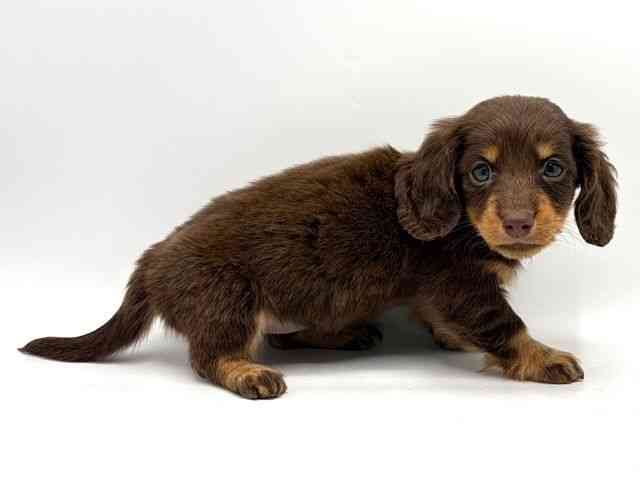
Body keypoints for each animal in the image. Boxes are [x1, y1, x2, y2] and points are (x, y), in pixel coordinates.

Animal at [20, 95, 617, 399]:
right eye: (480, 171)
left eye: (553, 168)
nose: (518, 224)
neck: (458, 221)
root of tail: (150, 262)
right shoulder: (460, 284)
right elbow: (506, 326)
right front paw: (543, 358)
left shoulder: (440, 293)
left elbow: (444, 320)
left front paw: (455, 340)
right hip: (227, 298)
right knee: (211, 356)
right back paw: (248, 373)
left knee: (283, 334)